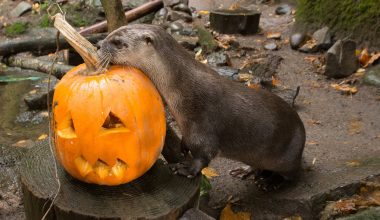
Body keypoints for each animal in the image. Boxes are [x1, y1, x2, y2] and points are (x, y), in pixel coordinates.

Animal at [98, 23, 306, 189]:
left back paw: (270, 182)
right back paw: (245, 170)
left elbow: (204, 154)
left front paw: (186, 168)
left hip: (289, 156)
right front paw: (182, 148)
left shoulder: (203, 122)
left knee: (292, 175)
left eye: (117, 42)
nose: (99, 45)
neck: (182, 86)